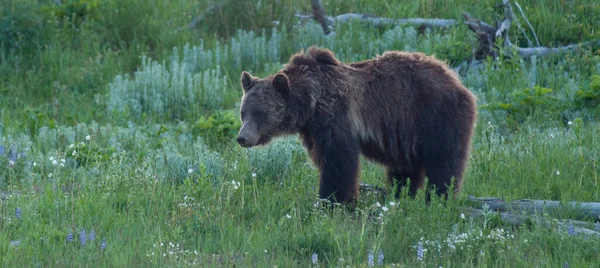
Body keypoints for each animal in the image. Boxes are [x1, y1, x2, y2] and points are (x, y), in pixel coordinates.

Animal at [237, 46, 476, 203]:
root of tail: (456, 79)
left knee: (444, 162)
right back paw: (402, 195)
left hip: (435, 115)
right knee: (405, 169)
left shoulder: (336, 115)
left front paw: (332, 200)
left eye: (260, 113)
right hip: (406, 133)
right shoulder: (313, 130)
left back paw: (438, 198)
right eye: (243, 112)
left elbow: (339, 161)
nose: (242, 137)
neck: (310, 104)